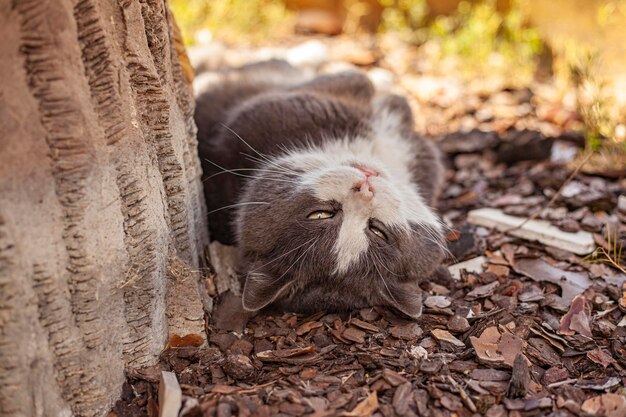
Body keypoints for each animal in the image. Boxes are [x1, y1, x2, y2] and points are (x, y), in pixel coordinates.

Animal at [195, 60, 444, 316]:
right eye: (321, 214)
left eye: (377, 230)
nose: (365, 190)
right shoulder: (269, 112)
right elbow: (357, 80)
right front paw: (392, 99)